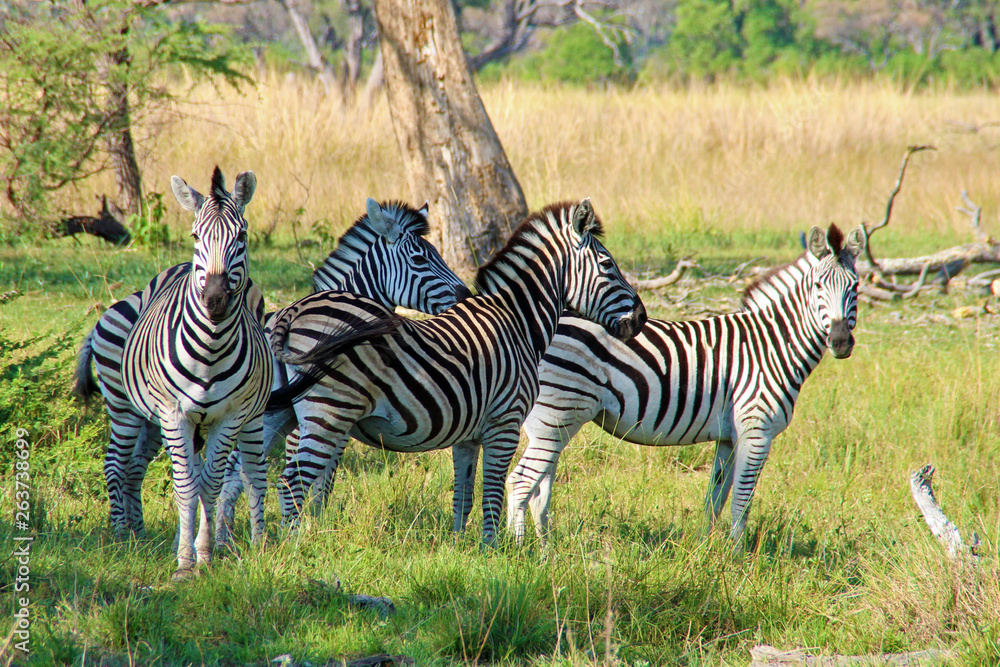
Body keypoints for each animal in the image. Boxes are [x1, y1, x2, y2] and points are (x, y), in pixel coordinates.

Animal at [75, 197, 470, 543]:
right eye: (420, 259)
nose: (465, 294)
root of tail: (108, 313)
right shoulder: (307, 420)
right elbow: (307, 476)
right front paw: (302, 530)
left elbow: (290, 476)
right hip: (125, 408)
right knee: (116, 464)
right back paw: (122, 535)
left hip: (156, 416)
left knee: (136, 467)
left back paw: (140, 532)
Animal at [114, 167, 273, 579]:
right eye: (196, 236)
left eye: (242, 236)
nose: (215, 300)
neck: (211, 349)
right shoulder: (174, 415)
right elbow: (187, 486)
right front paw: (185, 563)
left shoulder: (230, 416)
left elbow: (212, 485)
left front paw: (204, 554)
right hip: (137, 413)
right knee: (128, 465)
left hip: (252, 417)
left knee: (254, 474)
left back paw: (260, 544)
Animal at [268, 199, 647, 543]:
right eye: (608, 265)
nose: (642, 318)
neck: (517, 322)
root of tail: (293, 310)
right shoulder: (505, 424)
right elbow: (492, 494)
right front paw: (492, 551)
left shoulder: (468, 435)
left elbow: (462, 497)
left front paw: (458, 549)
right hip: (327, 413)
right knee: (292, 483)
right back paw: (294, 548)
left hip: (280, 414)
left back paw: (262, 548)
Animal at [505, 224, 865, 547]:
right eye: (817, 286)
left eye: (856, 287)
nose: (840, 341)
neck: (771, 346)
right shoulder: (756, 429)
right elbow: (742, 501)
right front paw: (738, 558)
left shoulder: (728, 437)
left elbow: (715, 499)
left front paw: (704, 553)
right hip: (557, 414)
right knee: (521, 482)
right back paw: (517, 552)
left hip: (555, 422)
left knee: (539, 492)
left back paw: (548, 554)